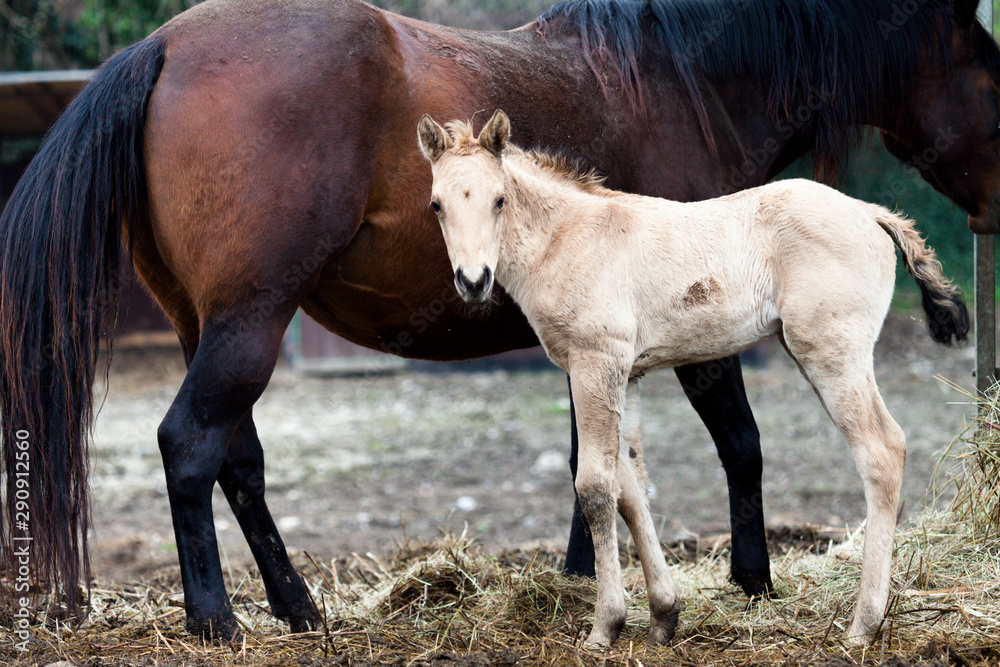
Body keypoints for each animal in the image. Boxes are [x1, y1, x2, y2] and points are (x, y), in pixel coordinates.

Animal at [418, 109, 968, 645]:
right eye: (436, 205)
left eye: (499, 200)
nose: (473, 281)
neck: (567, 239)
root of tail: (868, 212)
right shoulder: (627, 374)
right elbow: (630, 485)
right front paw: (664, 614)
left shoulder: (595, 362)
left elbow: (595, 486)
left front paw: (604, 626)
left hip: (833, 352)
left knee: (882, 450)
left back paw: (863, 624)